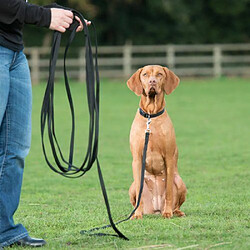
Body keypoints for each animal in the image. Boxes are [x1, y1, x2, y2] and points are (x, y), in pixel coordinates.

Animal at [128, 65, 187, 220]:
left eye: (159, 74)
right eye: (145, 74)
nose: (152, 82)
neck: (151, 116)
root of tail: (155, 208)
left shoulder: (169, 158)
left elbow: (169, 192)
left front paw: (168, 212)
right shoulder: (137, 159)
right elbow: (139, 191)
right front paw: (137, 215)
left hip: (180, 181)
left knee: (177, 203)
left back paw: (175, 211)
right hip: (131, 186)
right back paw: (135, 212)